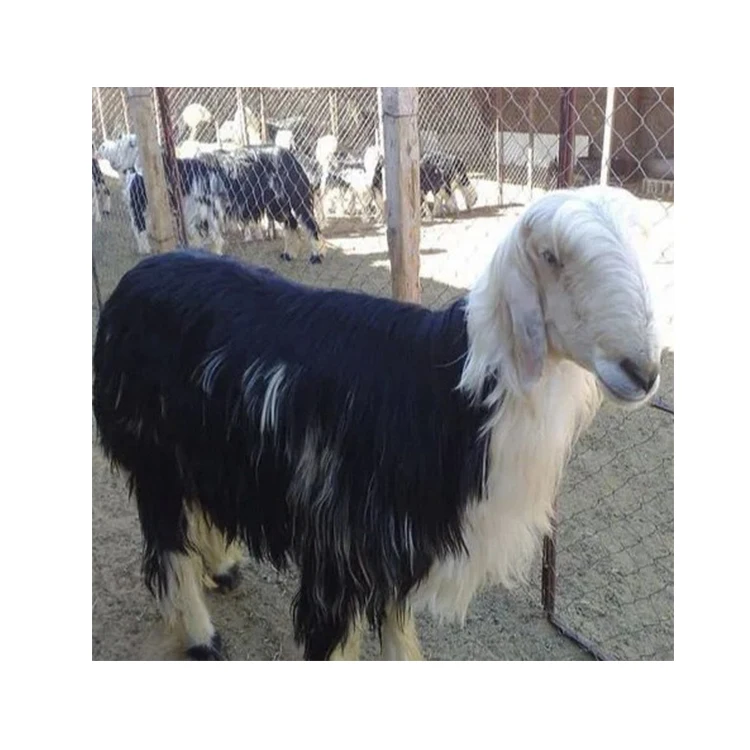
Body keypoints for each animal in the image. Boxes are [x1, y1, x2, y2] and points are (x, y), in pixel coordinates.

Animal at [92, 185, 661, 660]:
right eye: (550, 257)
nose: (645, 372)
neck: (450, 392)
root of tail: (138, 275)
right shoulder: (340, 551)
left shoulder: (395, 550)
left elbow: (398, 637)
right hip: (153, 454)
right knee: (167, 547)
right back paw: (201, 636)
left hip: (207, 450)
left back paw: (223, 568)